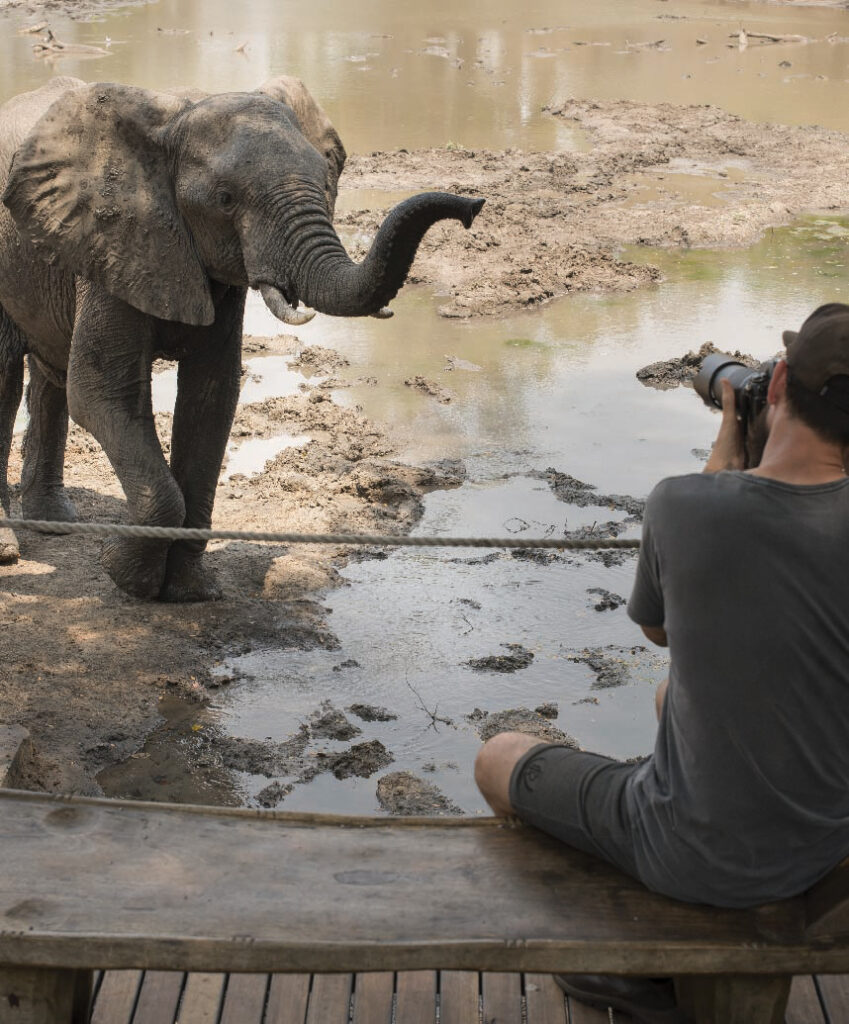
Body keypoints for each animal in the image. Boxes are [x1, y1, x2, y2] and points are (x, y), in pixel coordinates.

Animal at [0, 76, 484, 600]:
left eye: (326, 181)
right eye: (226, 199)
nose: (472, 207)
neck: (172, 121)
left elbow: (211, 399)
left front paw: (189, 590)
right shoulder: (115, 242)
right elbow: (102, 394)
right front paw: (125, 574)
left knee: (49, 378)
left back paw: (56, 524)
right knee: (9, 380)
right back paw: (10, 550)